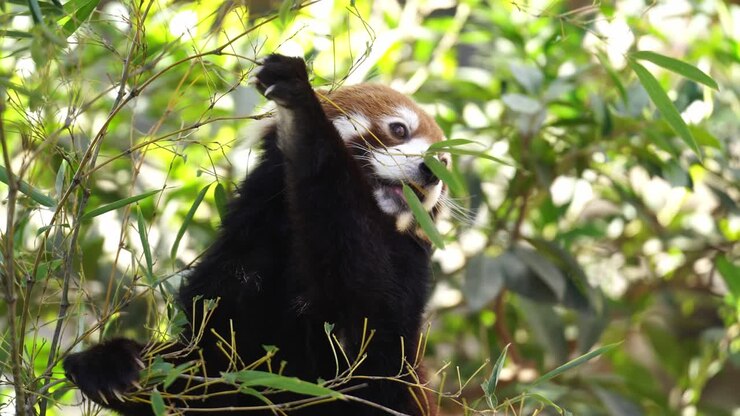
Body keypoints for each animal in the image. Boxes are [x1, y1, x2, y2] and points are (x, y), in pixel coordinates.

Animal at [63, 54, 449, 415]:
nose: (432, 171)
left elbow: (369, 327)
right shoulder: (247, 249)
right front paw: (109, 363)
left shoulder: (401, 283)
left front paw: (302, 114)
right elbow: (206, 366)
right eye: (398, 130)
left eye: (445, 161)